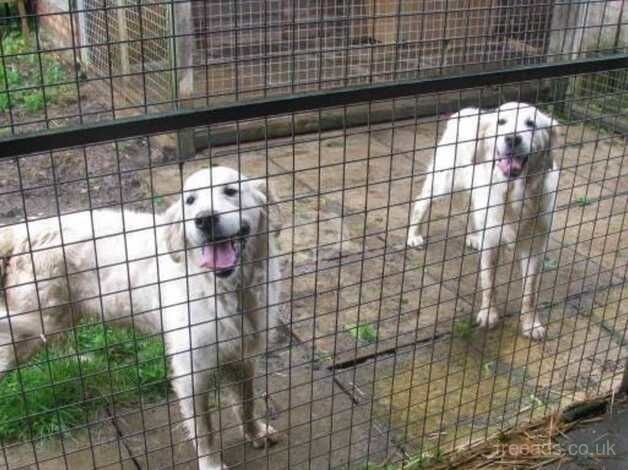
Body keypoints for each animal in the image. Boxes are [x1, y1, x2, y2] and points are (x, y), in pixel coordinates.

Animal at [0, 165, 280, 470]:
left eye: (230, 191)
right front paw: (211, 464)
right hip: (34, 324)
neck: (226, 289)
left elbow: (247, 402)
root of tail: (21, 230)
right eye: (190, 201)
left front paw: (254, 432)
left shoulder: (243, 356)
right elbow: (204, 429)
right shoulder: (191, 372)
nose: (204, 219)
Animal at [408, 102, 560, 338]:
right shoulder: (491, 243)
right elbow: (489, 283)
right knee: (421, 203)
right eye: (501, 122)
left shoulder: (534, 246)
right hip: (443, 183)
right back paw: (414, 236)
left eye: (531, 123)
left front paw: (531, 324)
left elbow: (530, 291)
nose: (512, 138)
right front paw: (488, 314)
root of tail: (466, 112)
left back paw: (473, 236)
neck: (516, 193)